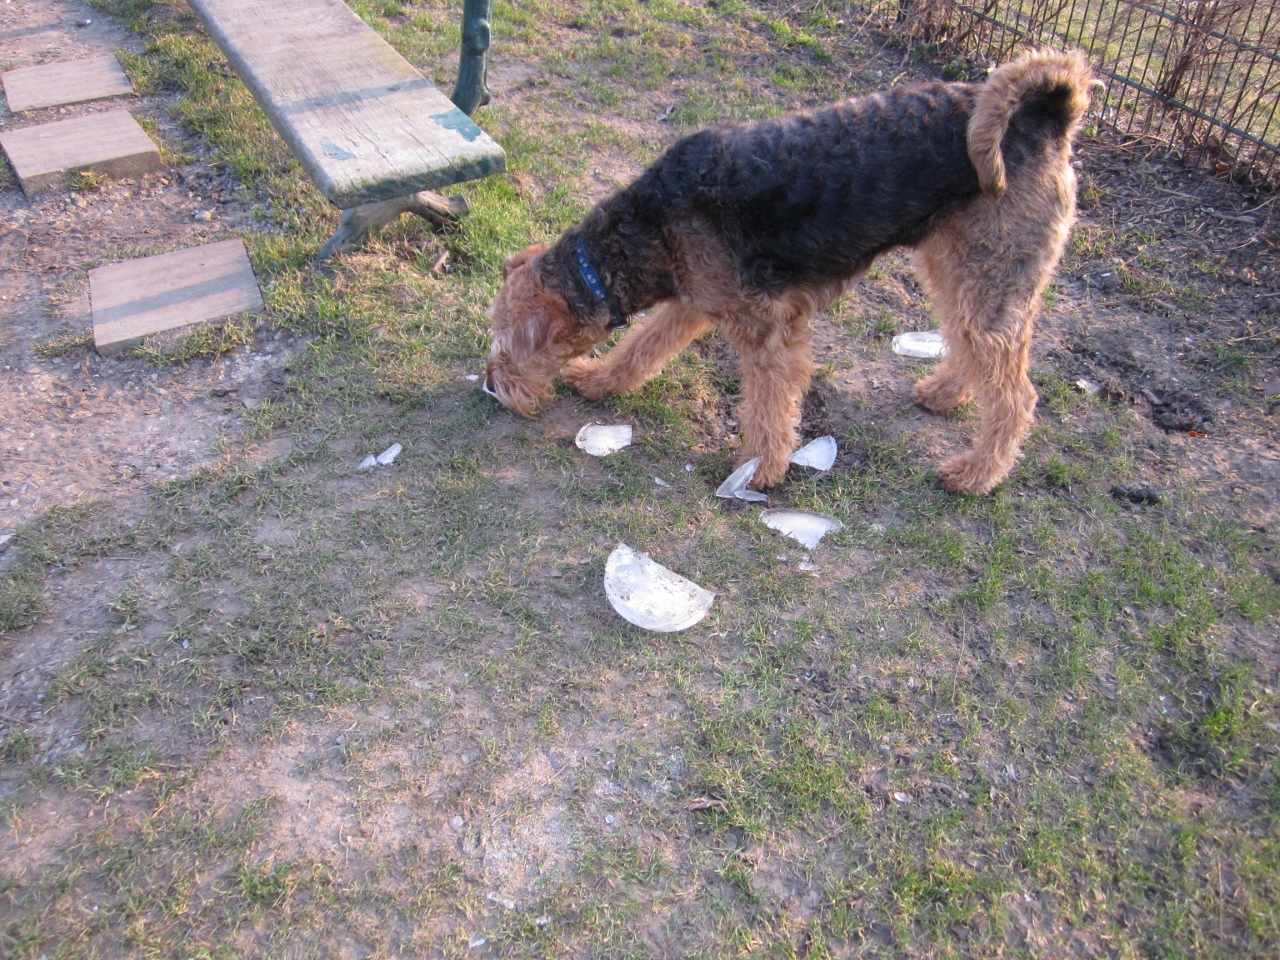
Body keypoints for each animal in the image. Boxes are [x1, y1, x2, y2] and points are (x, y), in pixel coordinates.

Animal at [483, 50, 1098, 494]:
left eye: (508, 344)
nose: (493, 388)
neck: (645, 228)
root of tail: (1048, 117)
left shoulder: (768, 329)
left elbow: (770, 409)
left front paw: (760, 471)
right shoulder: (694, 300)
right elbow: (642, 348)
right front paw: (599, 379)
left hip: (988, 274)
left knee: (1017, 395)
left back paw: (973, 475)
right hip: (955, 267)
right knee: (976, 354)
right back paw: (944, 395)